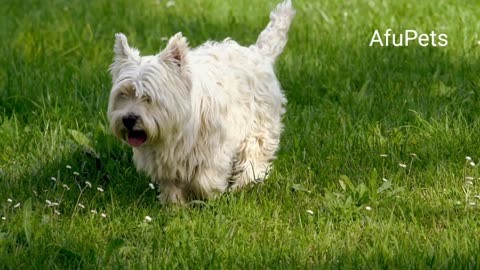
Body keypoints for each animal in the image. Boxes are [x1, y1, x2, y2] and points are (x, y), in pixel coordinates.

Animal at [108, 0, 294, 202]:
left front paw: (209, 196)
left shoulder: (214, 150)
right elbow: (171, 184)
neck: (179, 131)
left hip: (259, 124)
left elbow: (204, 180)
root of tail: (258, 53)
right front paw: (174, 204)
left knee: (255, 154)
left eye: (148, 98)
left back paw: (245, 183)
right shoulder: (163, 160)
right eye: (123, 95)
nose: (129, 119)